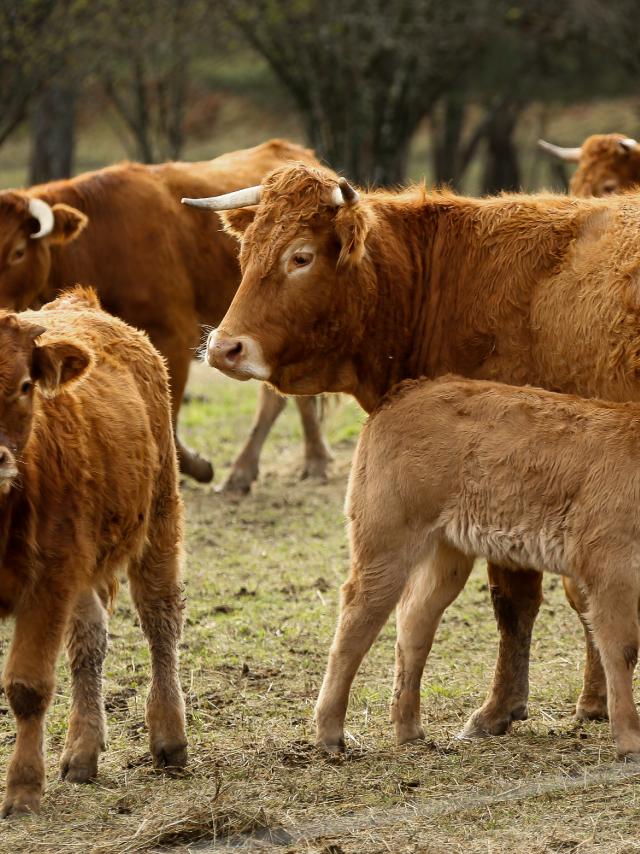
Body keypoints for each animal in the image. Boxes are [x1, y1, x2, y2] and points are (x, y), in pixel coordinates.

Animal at [0, 138, 330, 492]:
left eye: (18, 251)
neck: (102, 242)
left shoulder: (176, 337)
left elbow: (168, 416)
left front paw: (196, 467)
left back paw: (301, 463)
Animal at [0, 290, 188, 820]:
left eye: (25, 385)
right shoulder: (64, 574)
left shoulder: (47, 583)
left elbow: (27, 685)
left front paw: (23, 788)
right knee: (89, 640)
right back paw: (82, 749)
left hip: (158, 523)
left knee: (161, 621)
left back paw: (169, 737)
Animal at [318, 376, 640, 764]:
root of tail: (408, 390)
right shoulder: (610, 565)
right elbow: (622, 648)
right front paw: (631, 741)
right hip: (385, 538)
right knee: (357, 621)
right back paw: (330, 734)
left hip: (447, 552)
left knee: (414, 621)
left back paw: (409, 732)